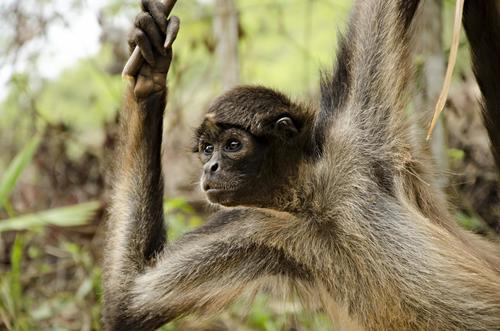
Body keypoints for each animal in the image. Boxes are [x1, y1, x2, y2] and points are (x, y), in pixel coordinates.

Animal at [102, 0, 500, 331]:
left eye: (232, 146)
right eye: (206, 149)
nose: (209, 169)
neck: (314, 201)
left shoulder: (358, 135)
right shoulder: (262, 228)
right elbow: (129, 300)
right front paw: (150, 74)